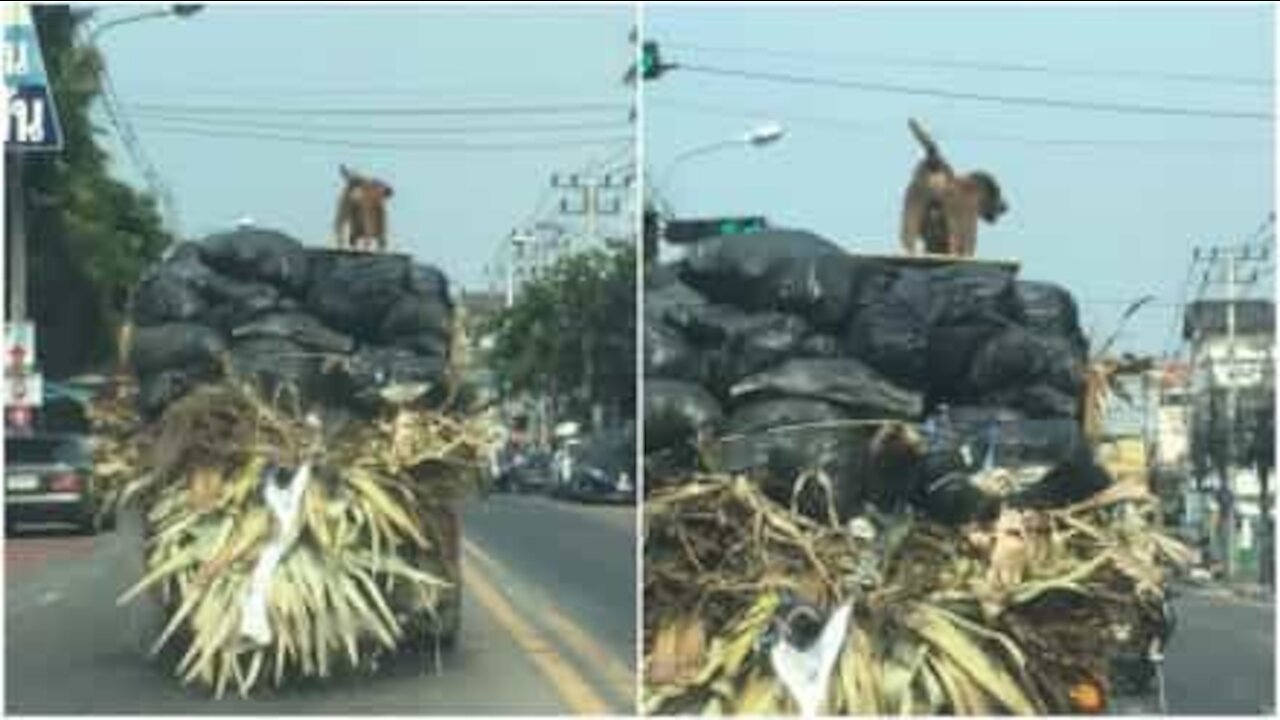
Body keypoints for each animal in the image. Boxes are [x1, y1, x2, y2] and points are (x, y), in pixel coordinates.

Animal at [901, 119, 1008, 257]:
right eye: (998, 192)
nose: (1005, 207)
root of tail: (936, 165)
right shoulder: (968, 216)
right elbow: (966, 245)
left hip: (915, 200)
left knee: (909, 235)